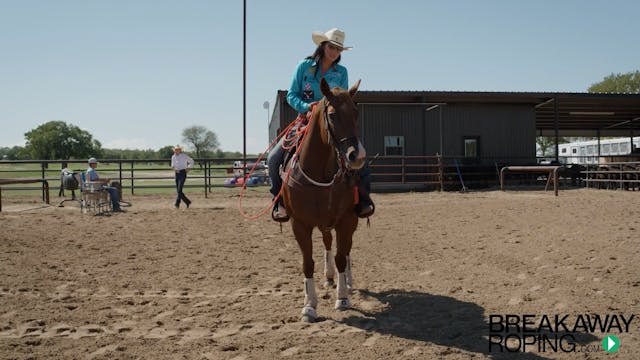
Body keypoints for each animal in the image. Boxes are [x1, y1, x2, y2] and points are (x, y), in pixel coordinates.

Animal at [282, 77, 364, 322]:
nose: (357, 156)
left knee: (345, 250)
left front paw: (343, 298)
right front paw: (309, 305)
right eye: (333, 115)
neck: (320, 174)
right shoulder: (299, 224)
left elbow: (341, 257)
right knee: (328, 243)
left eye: (356, 113)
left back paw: (347, 281)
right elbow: (307, 263)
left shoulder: (346, 220)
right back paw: (328, 277)